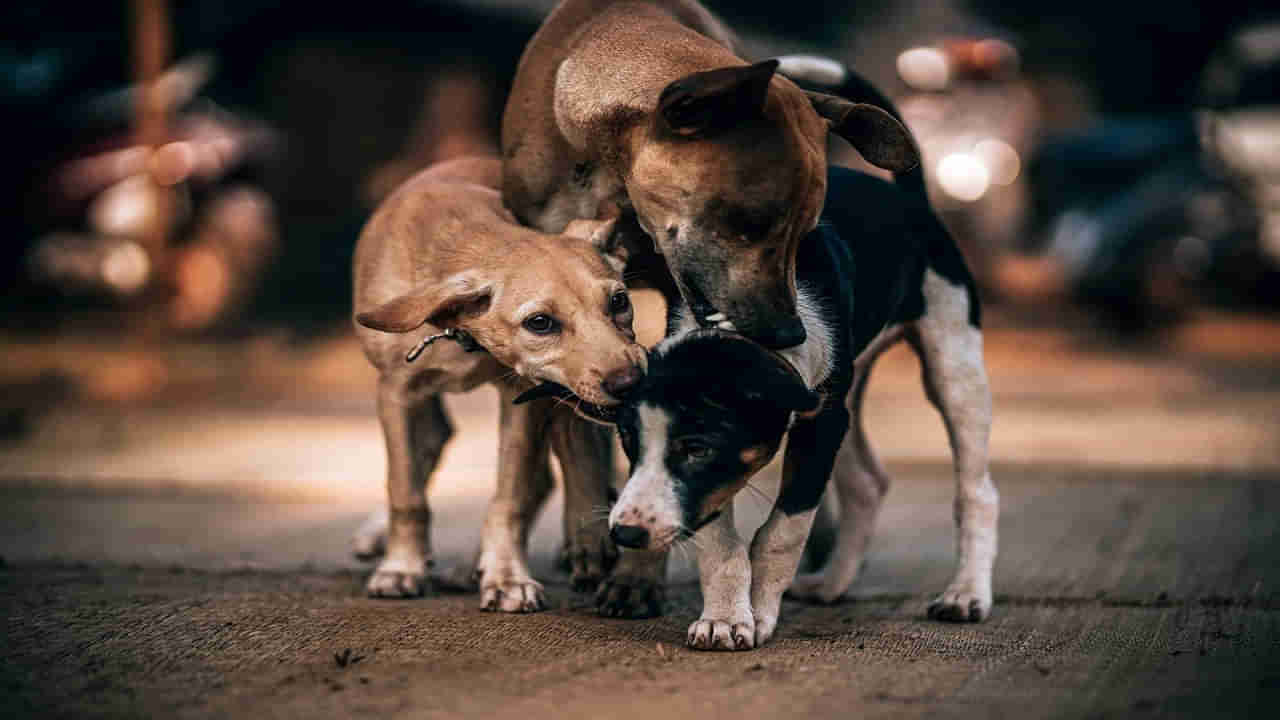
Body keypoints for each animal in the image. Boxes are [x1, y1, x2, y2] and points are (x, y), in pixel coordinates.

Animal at [353, 155, 650, 604]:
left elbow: (509, 498)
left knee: (547, 475)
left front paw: (507, 576)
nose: (630, 382)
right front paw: (401, 567)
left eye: (619, 301)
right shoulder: (396, 392)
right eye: (539, 323)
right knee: (432, 446)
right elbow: (406, 491)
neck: (460, 337)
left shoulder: (522, 396)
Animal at [593, 146, 993, 645]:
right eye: (629, 443)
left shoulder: (820, 422)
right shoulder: (806, 426)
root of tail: (911, 201)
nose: (625, 535)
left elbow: (783, 532)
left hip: (954, 361)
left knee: (976, 491)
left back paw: (966, 593)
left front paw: (758, 612)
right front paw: (725, 617)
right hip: (853, 391)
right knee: (867, 483)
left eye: (697, 449)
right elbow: (720, 540)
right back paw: (832, 583)